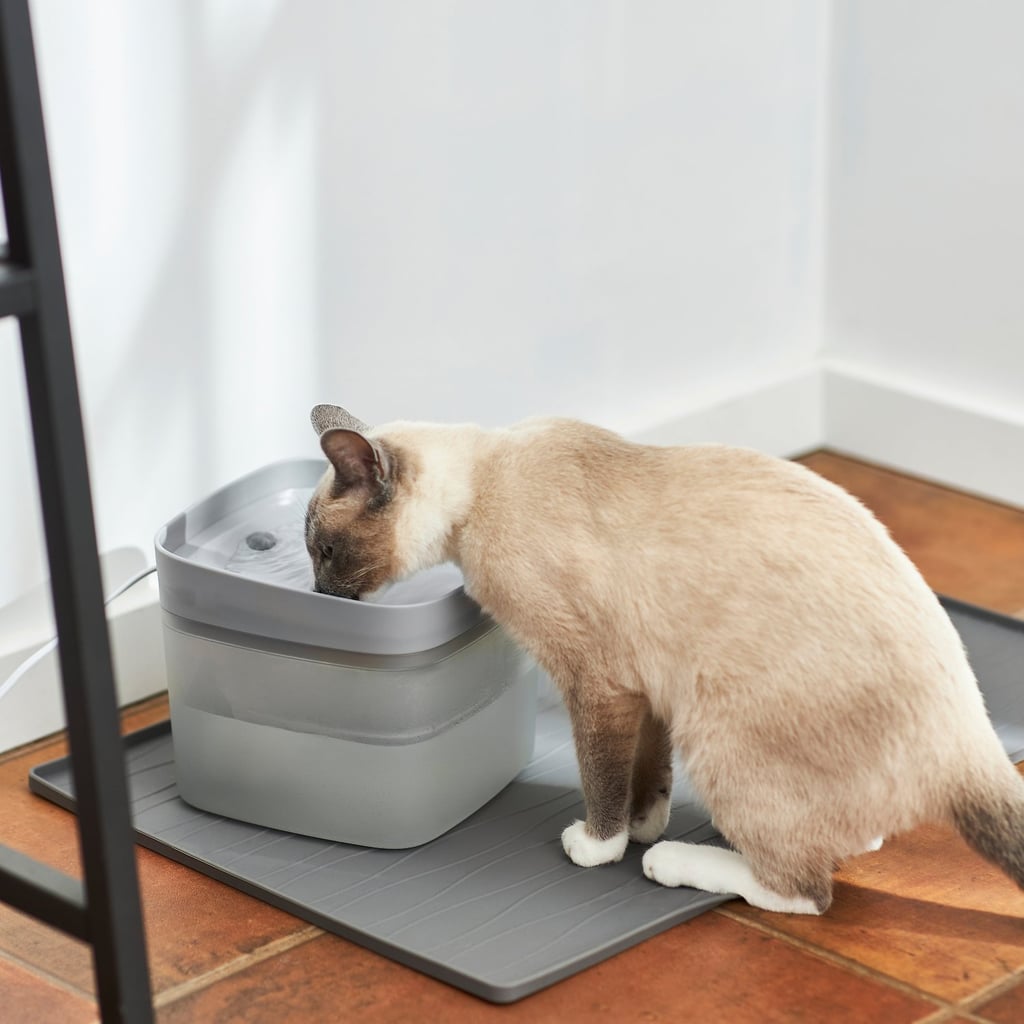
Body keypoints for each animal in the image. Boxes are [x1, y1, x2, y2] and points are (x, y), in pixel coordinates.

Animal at [301, 403, 1024, 917]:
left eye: (325, 552)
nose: (317, 593)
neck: (481, 481)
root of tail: (970, 739)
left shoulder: (598, 684)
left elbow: (603, 780)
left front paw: (603, 845)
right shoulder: (647, 686)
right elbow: (647, 770)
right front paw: (645, 821)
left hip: (719, 734)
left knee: (807, 891)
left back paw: (674, 863)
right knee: (845, 843)